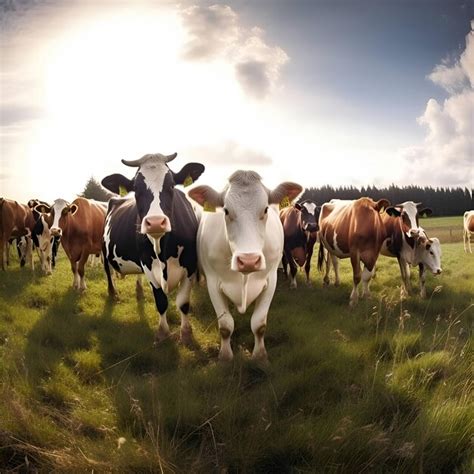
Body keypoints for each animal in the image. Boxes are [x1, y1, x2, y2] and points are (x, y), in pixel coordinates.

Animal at [101, 154, 205, 342]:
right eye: (136, 188)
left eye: (171, 185)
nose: (155, 222)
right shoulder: (148, 265)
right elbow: (161, 301)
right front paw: (162, 333)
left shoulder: (190, 265)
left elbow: (183, 303)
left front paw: (186, 333)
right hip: (104, 250)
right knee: (107, 270)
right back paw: (113, 293)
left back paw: (139, 291)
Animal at [187, 170, 302, 360]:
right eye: (226, 210)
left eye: (265, 209)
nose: (249, 260)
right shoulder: (213, 282)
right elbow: (225, 326)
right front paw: (225, 357)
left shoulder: (271, 279)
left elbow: (259, 325)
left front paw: (260, 357)